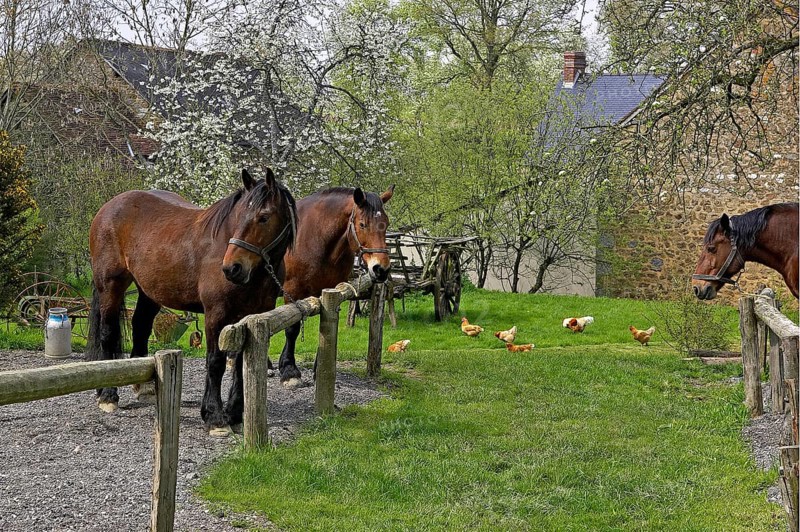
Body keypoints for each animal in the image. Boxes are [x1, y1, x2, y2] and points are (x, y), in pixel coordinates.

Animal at [87, 168, 297, 436]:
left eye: (264, 217)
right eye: (239, 215)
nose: (232, 268)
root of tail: (108, 208)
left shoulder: (251, 318)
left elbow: (240, 362)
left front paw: (235, 414)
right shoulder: (216, 315)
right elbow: (216, 362)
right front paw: (215, 417)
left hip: (149, 292)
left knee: (141, 327)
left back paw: (144, 388)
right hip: (110, 286)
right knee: (107, 333)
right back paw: (107, 396)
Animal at [276, 185, 394, 387]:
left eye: (385, 224)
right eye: (362, 224)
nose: (381, 269)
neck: (316, 238)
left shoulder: (331, 292)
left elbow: (327, 327)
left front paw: (320, 370)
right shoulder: (292, 291)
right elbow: (292, 329)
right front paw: (289, 371)